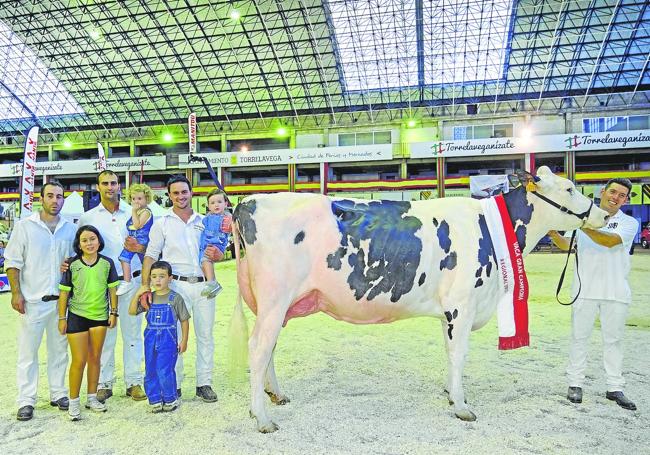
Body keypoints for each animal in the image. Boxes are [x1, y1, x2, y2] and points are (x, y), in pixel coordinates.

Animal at [233, 166, 608, 432]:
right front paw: (462, 407)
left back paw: (276, 395)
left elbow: (449, 352)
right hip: (274, 300)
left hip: (277, 306)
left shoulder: (450, 311)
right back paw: (262, 418)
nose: (603, 214)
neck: (489, 227)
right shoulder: (463, 304)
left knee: (268, 349)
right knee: (257, 348)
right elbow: (459, 355)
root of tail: (248, 202)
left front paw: (451, 394)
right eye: (569, 188)